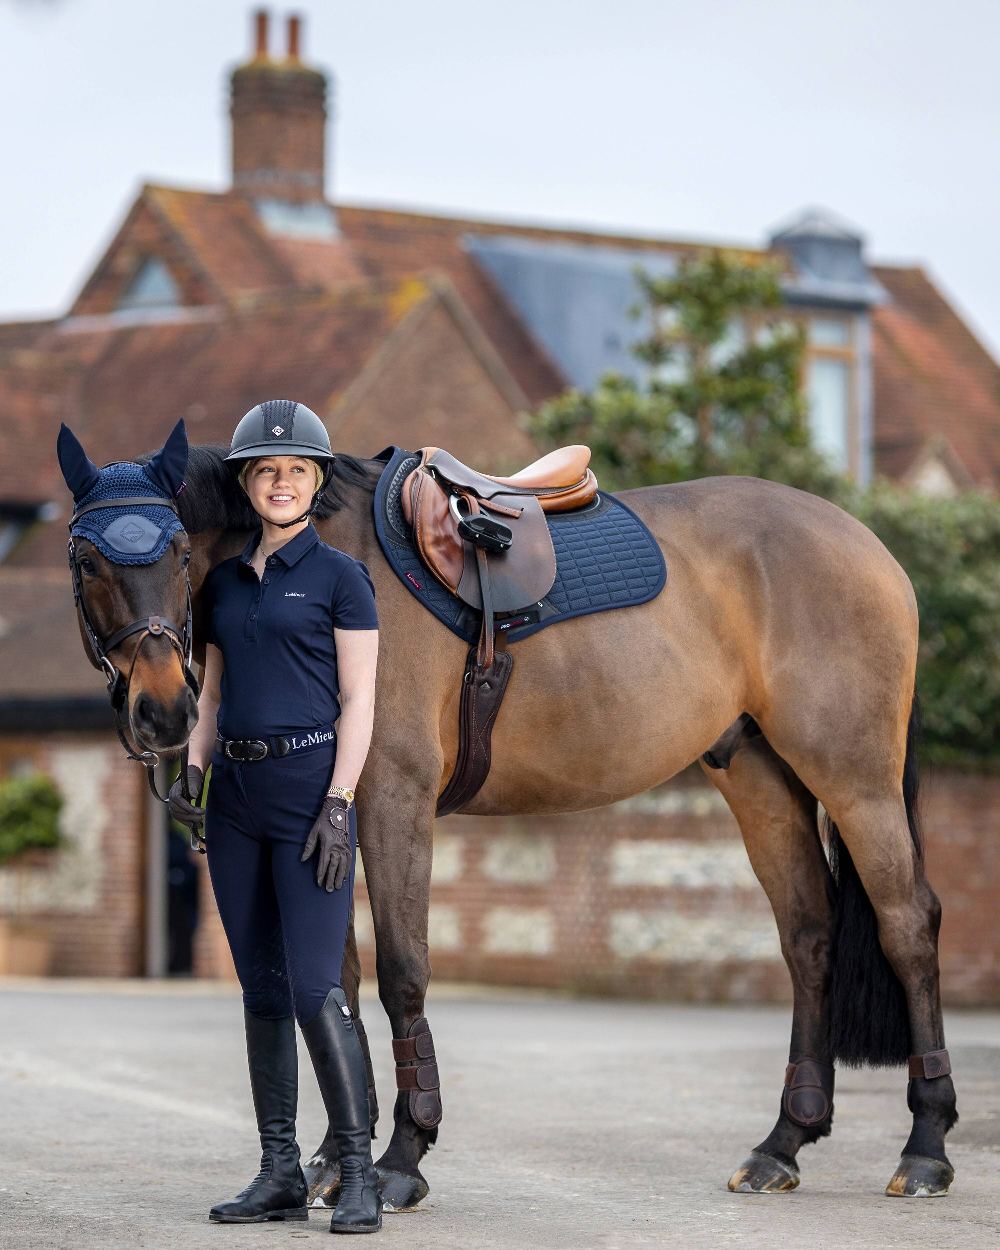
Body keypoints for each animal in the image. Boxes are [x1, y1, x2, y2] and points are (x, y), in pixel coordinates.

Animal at [56, 422, 960, 1210]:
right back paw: (783, 1144)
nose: (163, 711)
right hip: (760, 776)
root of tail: (866, 544)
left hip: (854, 777)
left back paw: (926, 1148)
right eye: (87, 557)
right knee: (809, 936)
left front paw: (401, 1160)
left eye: (178, 551)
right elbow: (337, 982)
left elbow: (404, 973)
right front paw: (333, 1161)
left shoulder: (392, 802)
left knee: (907, 926)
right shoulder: (327, 826)